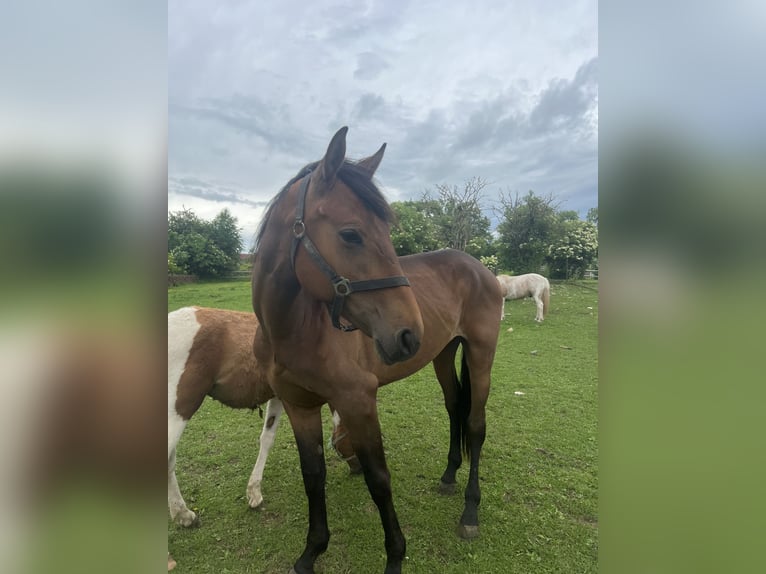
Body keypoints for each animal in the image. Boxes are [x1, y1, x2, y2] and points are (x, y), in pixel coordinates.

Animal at [251, 126, 502, 574]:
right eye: (351, 234)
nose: (408, 333)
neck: (293, 329)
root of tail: (479, 267)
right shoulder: (300, 406)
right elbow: (313, 476)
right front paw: (312, 551)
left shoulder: (359, 401)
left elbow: (378, 478)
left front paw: (395, 557)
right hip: (442, 355)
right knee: (454, 408)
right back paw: (448, 476)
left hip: (480, 353)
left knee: (475, 424)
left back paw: (470, 511)